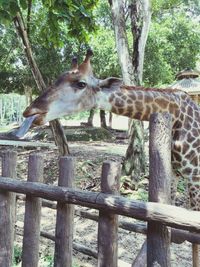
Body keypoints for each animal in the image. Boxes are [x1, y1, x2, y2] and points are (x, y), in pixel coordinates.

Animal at [21, 50, 200, 211]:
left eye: (81, 83)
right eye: (57, 79)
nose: (30, 111)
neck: (177, 116)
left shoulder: (195, 177)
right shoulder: (174, 172)